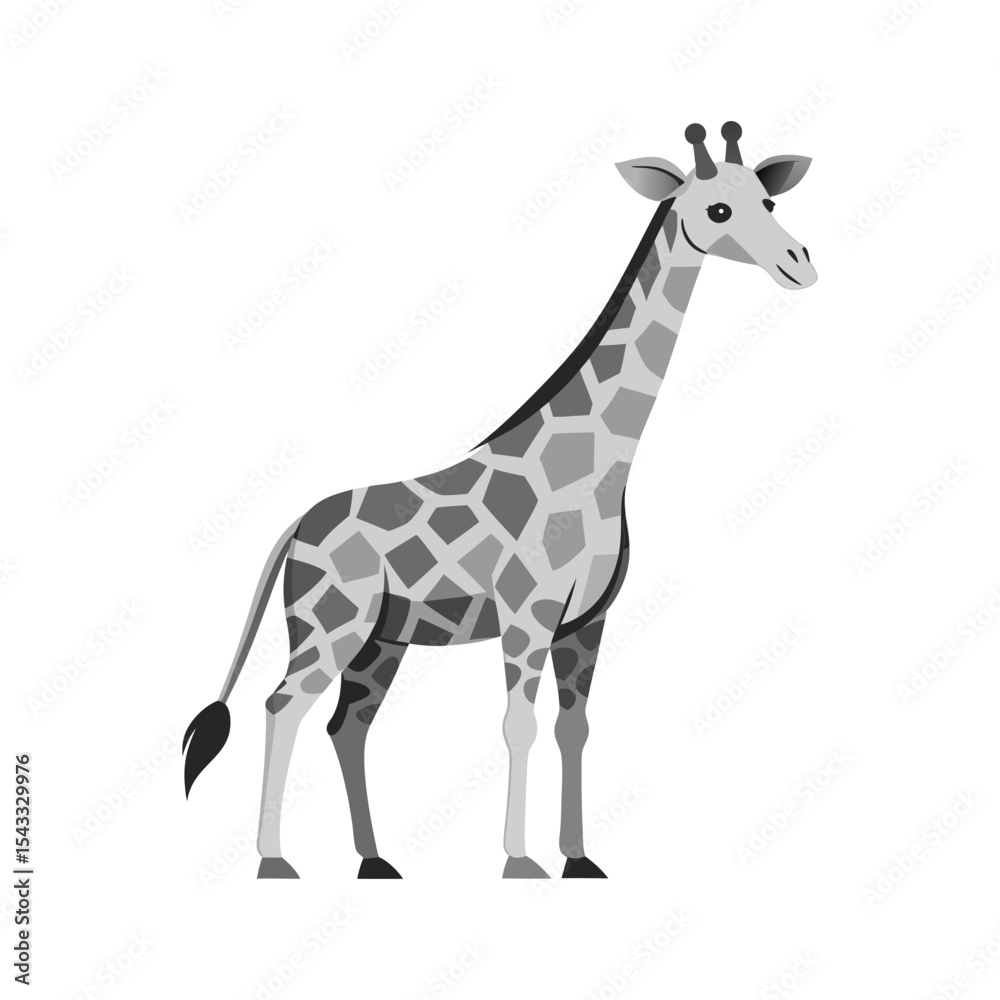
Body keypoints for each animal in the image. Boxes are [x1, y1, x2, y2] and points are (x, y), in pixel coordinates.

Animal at [184, 122, 817, 879]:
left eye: (769, 202)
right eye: (717, 211)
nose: (799, 264)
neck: (601, 467)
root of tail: (294, 528)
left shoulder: (585, 623)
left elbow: (574, 729)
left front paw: (578, 859)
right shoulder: (526, 612)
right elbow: (519, 726)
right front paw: (519, 861)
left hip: (381, 639)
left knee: (347, 725)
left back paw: (375, 861)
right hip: (329, 622)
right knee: (283, 706)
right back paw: (275, 862)